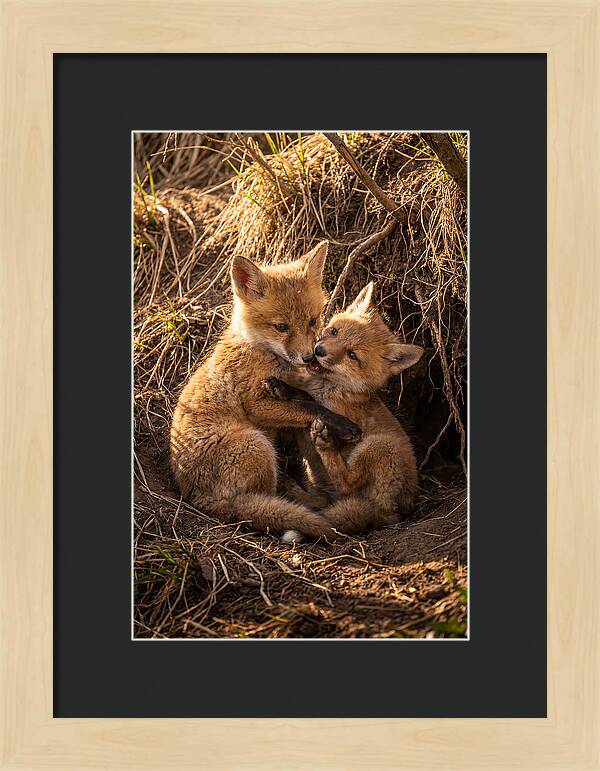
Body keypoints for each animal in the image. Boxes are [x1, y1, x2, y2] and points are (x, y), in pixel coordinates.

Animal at [169, 241, 361, 539]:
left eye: (312, 320)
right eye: (281, 327)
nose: (309, 357)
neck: (260, 351)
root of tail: (197, 499)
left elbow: (304, 398)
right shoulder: (256, 405)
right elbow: (309, 406)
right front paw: (343, 425)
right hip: (256, 444)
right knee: (266, 500)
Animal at [265, 281, 424, 537]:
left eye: (352, 355)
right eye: (334, 332)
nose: (319, 351)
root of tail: (395, 513)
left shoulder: (340, 414)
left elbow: (309, 401)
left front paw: (285, 389)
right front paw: (282, 386)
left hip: (379, 446)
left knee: (347, 482)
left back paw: (325, 446)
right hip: (323, 484)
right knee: (323, 501)